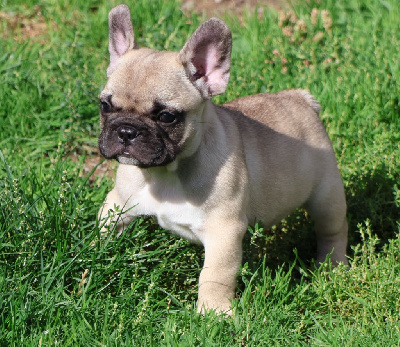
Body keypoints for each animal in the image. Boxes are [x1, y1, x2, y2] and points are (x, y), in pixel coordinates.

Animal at [98, 4, 348, 316]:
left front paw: (214, 313)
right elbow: (106, 227)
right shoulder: (118, 201)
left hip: (326, 196)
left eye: (166, 116)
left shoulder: (224, 232)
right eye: (104, 106)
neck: (165, 173)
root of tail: (300, 98)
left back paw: (332, 267)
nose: (126, 131)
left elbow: (215, 274)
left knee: (332, 231)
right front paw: (96, 254)